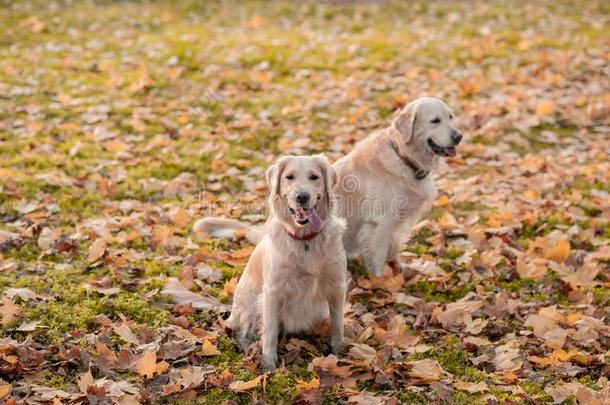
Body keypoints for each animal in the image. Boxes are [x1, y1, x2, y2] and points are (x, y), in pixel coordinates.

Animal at [220, 154, 344, 370]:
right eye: (289, 177)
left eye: (314, 177)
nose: (302, 197)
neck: (305, 241)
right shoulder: (272, 292)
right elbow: (269, 333)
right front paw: (269, 366)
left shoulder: (337, 286)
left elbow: (337, 325)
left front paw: (337, 354)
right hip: (249, 305)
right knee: (240, 331)